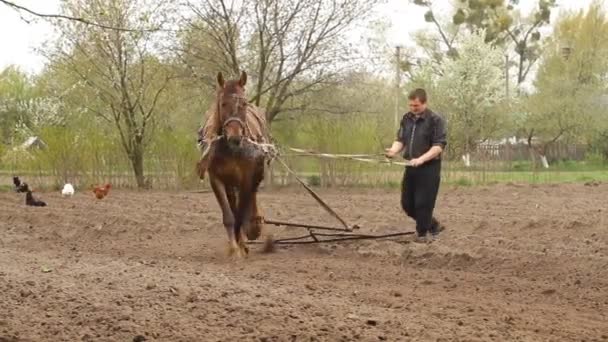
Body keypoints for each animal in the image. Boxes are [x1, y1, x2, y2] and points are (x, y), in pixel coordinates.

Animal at [202, 71, 270, 260]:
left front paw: (241, 245)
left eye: (243, 103)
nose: (235, 137)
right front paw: (233, 248)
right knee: (233, 203)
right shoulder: (216, 179)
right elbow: (229, 215)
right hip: (230, 183)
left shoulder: (246, 179)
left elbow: (240, 214)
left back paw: (253, 227)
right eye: (223, 103)